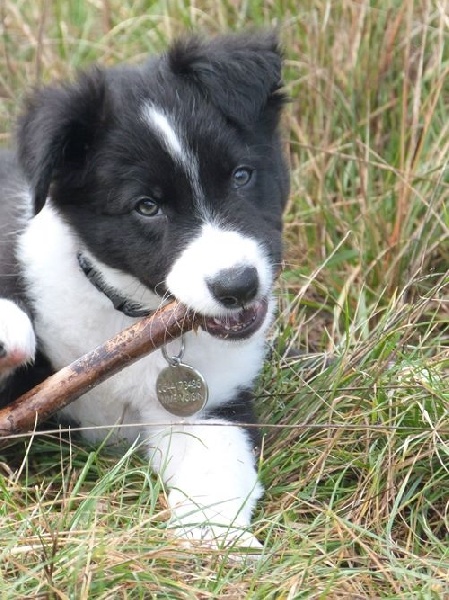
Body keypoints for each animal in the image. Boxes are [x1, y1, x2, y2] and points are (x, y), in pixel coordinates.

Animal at [0, 32, 288, 548]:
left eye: (241, 175)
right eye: (147, 206)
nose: (237, 285)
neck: (126, 310)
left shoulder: (207, 407)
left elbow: (216, 472)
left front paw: (220, 545)